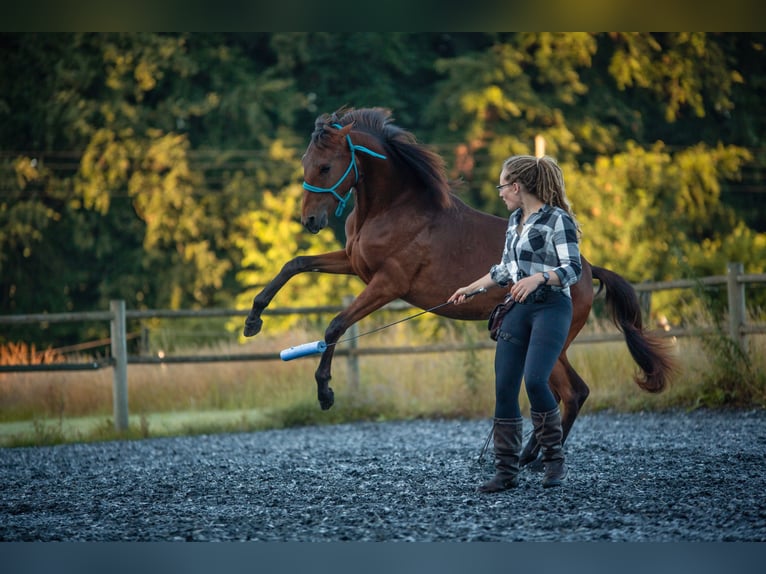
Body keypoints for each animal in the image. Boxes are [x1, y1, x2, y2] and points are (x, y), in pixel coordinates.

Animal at [243, 108, 676, 468]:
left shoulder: (386, 284)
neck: (391, 209)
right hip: (547, 344)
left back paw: (532, 458)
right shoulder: (354, 265)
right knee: (572, 392)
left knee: (570, 393)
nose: (310, 221)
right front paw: (253, 320)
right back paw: (528, 455)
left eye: (326, 165)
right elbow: (295, 264)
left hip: (549, 342)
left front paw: (325, 393)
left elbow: (334, 324)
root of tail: (583, 270)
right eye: (306, 163)